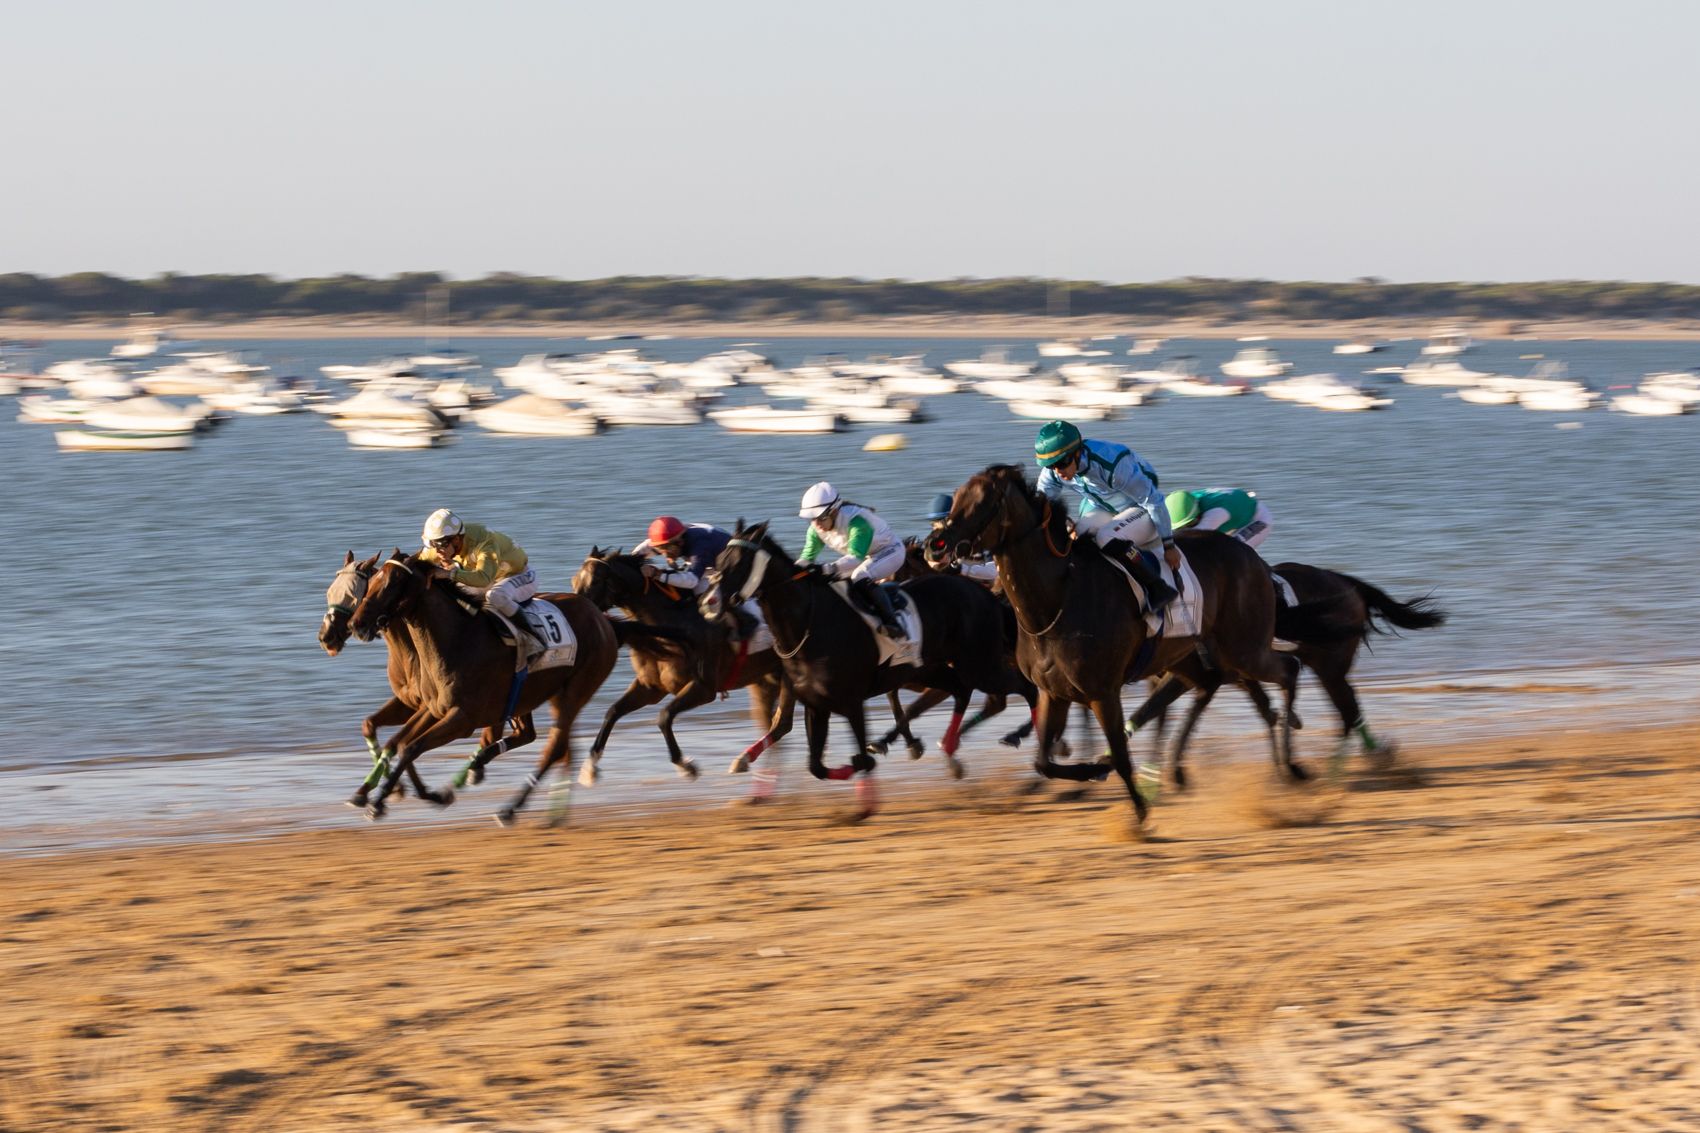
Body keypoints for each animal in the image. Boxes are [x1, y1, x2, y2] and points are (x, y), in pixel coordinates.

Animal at [317, 547, 530, 802]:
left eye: (353, 593)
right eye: (330, 591)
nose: (326, 636)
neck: (409, 653)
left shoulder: (428, 706)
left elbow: (398, 742)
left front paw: (399, 790)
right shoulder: (410, 701)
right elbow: (373, 727)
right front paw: (382, 788)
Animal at [351, 547, 625, 819]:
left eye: (393, 582)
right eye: (371, 583)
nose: (356, 623)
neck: (458, 638)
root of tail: (601, 618)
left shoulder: (463, 719)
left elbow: (411, 747)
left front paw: (379, 802)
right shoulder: (433, 708)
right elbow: (403, 744)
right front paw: (412, 794)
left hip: (575, 691)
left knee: (555, 749)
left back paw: (511, 807)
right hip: (530, 696)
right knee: (532, 737)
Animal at [564, 547, 788, 785]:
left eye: (596, 580)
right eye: (574, 580)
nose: (578, 610)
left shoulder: (703, 688)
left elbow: (664, 717)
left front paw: (685, 765)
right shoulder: (650, 688)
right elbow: (612, 712)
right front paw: (590, 768)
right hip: (765, 679)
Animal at [700, 520, 1033, 813]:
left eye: (738, 563)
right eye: (718, 560)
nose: (708, 603)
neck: (811, 623)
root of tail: (985, 594)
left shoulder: (851, 702)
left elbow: (859, 751)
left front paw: (866, 801)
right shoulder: (816, 704)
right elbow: (816, 765)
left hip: (979, 664)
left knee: (1025, 688)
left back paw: (1027, 745)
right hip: (935, 668)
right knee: (963, 691)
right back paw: (952, 748)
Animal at [931, 462, 1312, 830]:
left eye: (982, 502)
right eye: (957, 495)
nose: (936, 544)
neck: (1056, 601)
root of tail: (1252, 556)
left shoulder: (1102, 691)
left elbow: (1118, 752)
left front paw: (1138, 814)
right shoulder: (1053, 691)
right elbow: (1044, 762)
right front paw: (1092, 770)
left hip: (1243, 647)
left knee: (1287, 671)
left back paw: (1291, 763)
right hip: (1185, 652)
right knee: (1206, 684)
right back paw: (1182, 769)